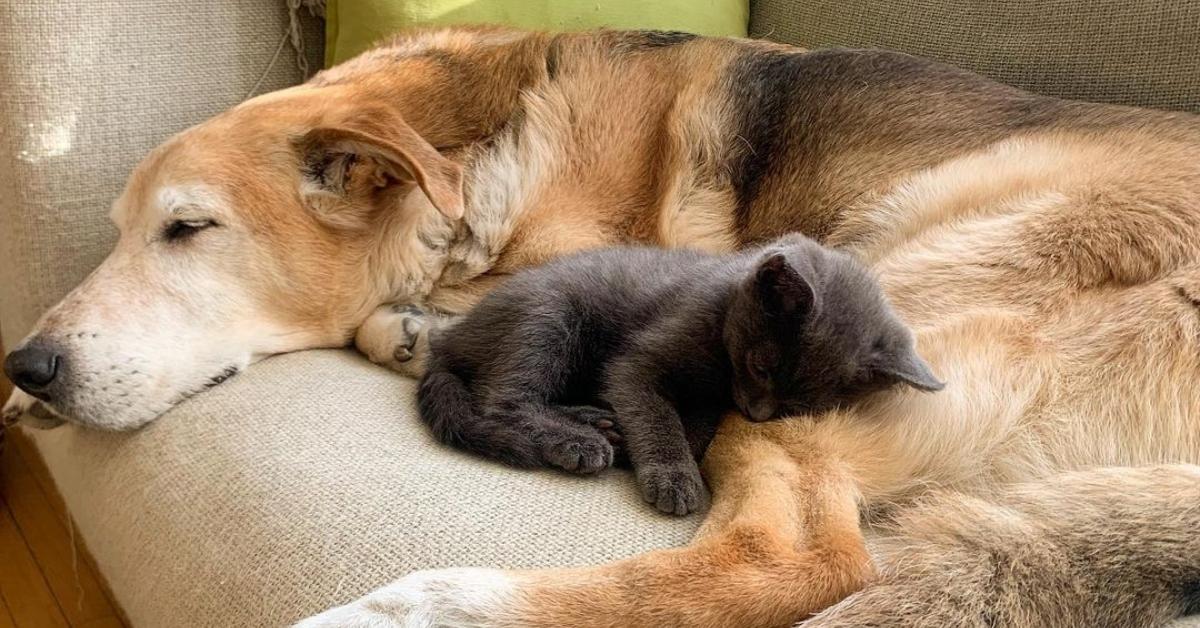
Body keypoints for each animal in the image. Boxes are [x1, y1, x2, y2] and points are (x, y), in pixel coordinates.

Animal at [417, 235, 940, 516]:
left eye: (799, 407)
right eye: (761, 365)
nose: (756, 414)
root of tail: (448, 339)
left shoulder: (711, 398)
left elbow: (698, 427)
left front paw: (662, 453)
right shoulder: (639, 363)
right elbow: (658, 416)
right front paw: (672, 475)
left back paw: (595, 421)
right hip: (547, 316)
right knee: (501, 400)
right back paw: (578, 440)